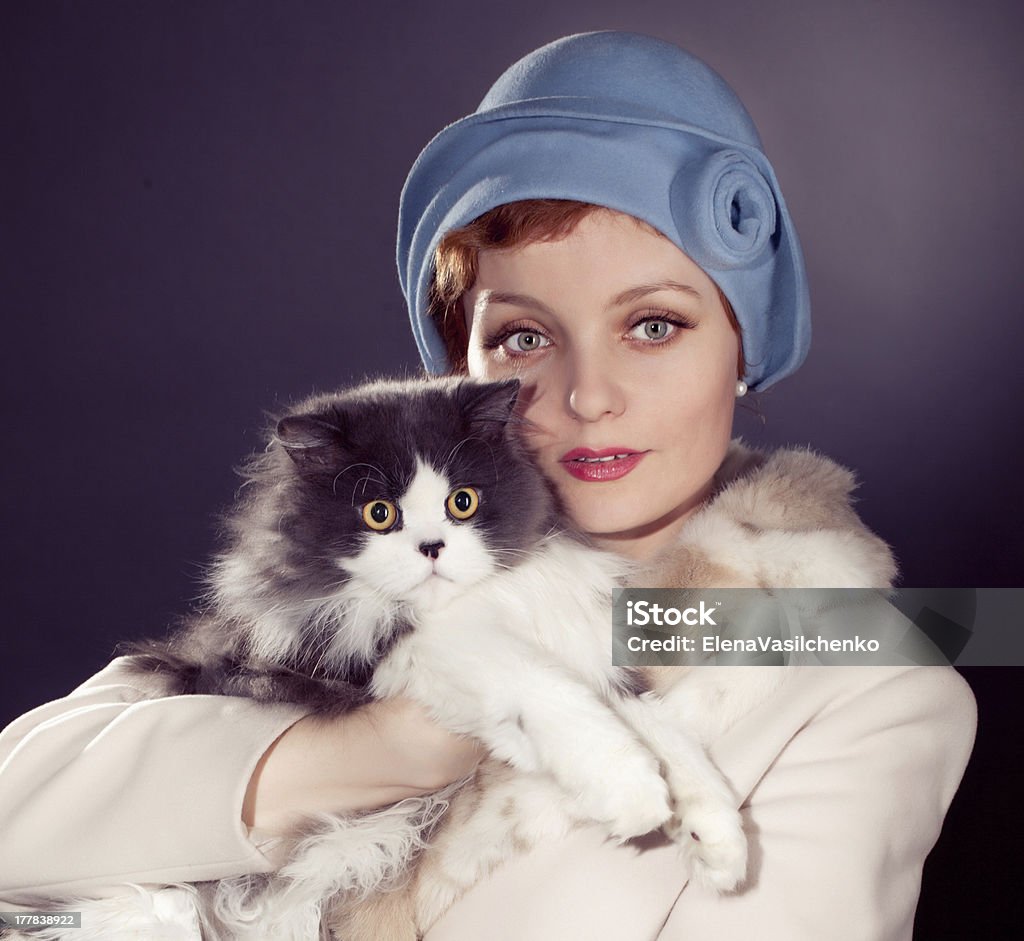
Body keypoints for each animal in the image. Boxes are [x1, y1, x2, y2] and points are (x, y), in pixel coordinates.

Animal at [25, 376, 745, 941]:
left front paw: (720, 840)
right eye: (377, 513)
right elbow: (555, 697)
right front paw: (631, 791)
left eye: (463, 501)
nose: (431, 547)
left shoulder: (580, 646)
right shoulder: (398, 652)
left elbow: (661, 730)